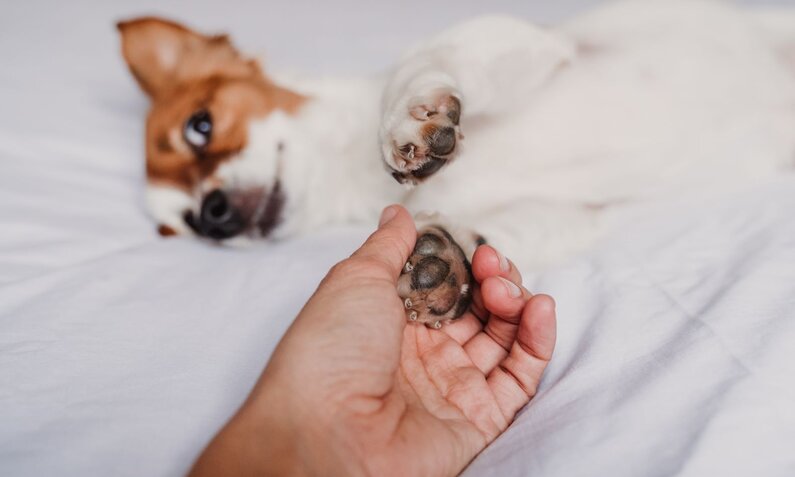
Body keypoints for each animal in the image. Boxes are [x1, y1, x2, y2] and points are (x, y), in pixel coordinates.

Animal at [118, 0, 795, 328]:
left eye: (201, 125)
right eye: (179, 229)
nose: (211, 215)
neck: (348, 177)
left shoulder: (529, 42)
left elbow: (421, 63)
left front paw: (406, 122)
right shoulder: (568, 214)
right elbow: (487, 237)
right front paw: (446, 262)